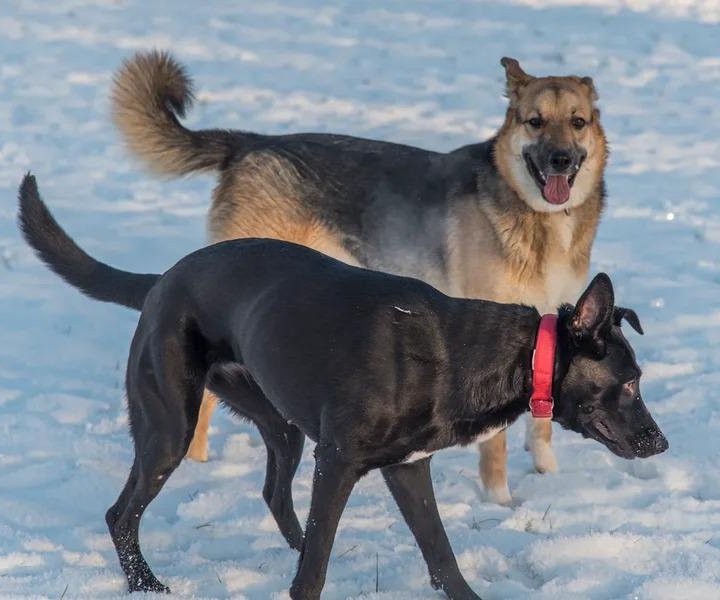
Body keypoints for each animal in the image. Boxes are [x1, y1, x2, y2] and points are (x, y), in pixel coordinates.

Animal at [18, 175, 668, 600]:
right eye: (632, 383)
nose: (661, 445)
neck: (478, 356)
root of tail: (161, 282)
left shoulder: (407, 467)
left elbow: (442, 557)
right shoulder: (338, 461)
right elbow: (315, 575)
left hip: (278, 422)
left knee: (275, 496)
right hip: (169, 425)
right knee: (120, 513)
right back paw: (145, 583)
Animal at [112, 50, 608, 502]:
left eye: (578, 122)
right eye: (535, 122)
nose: (561, 160)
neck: (542, 220)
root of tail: (248, 145)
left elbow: (542, 424)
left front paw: (546, 473)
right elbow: (497, 444)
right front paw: (499, 500)